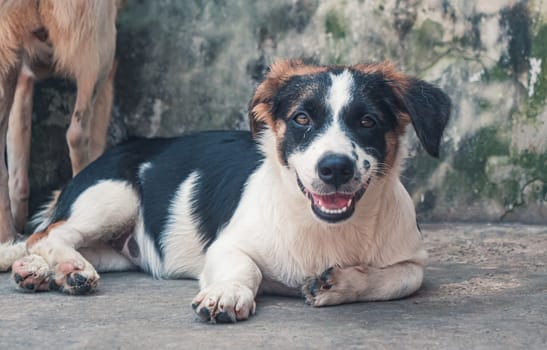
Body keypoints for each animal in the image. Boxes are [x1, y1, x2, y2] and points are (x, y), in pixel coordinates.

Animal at [0, 0, 124, 242]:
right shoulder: (108, 67)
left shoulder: (22, 76)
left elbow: (18, 177)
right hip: (97, 53)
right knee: (77, 134)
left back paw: (8, 238)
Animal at [0, 59, 452, 322]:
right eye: (302, 118)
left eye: (368, 121)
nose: (335, 168)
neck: (325, 228)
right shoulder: (226, 246)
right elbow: (245, 268)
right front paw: (228, 294)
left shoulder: (413, 261)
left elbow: (394, 281)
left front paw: (336, 283)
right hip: (113, 197)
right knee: (48, 235)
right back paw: (64, 268)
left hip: (119, 252)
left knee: (56, 243)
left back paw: (40, 270)